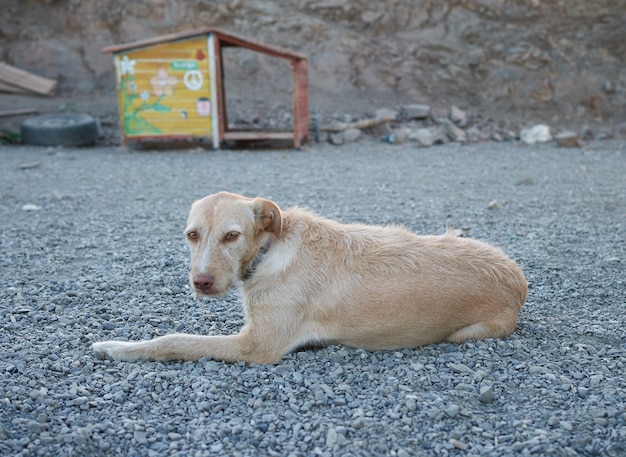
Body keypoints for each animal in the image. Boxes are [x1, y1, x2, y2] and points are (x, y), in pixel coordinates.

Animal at [90, 191, 524, 362]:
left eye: (232, 235)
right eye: (192, 235)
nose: (202, 282)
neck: (268, 251)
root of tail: (519, 279)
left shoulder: (257, 347)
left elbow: (174, 340)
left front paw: (116, 347)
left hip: (466, 333)